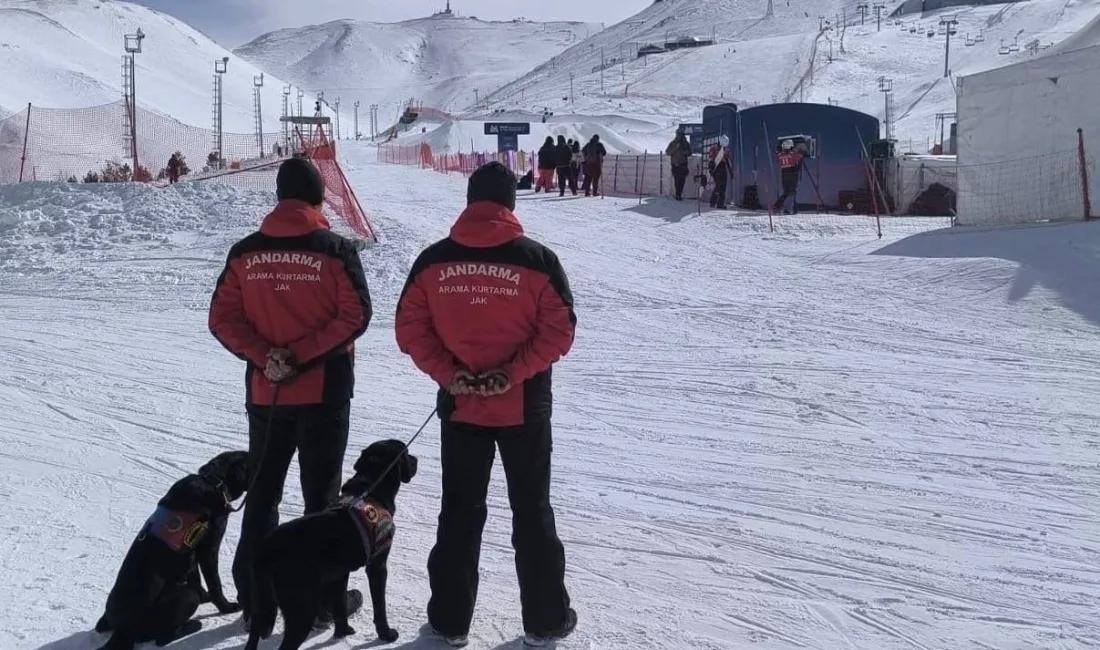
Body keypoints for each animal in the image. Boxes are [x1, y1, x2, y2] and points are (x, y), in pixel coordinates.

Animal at [92, 453, 249, 650]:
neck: (214, 481)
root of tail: (122, 632)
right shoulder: (208, 549)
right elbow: (215, 584)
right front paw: (227, 607)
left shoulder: (190, 553)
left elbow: (196, 578)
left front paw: (205, 596)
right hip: (186, 597)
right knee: (163, 638)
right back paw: (194, 624)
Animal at [245, 439, 415, 646]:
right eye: (407, 453)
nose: (416, 459)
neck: (370, 489)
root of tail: (265, 549)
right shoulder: (377, 565)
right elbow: (379, 605)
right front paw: (386, 634)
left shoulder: (339, 572)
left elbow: (340, 603)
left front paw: (343, 631)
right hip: (301, 606)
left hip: (260, 602)